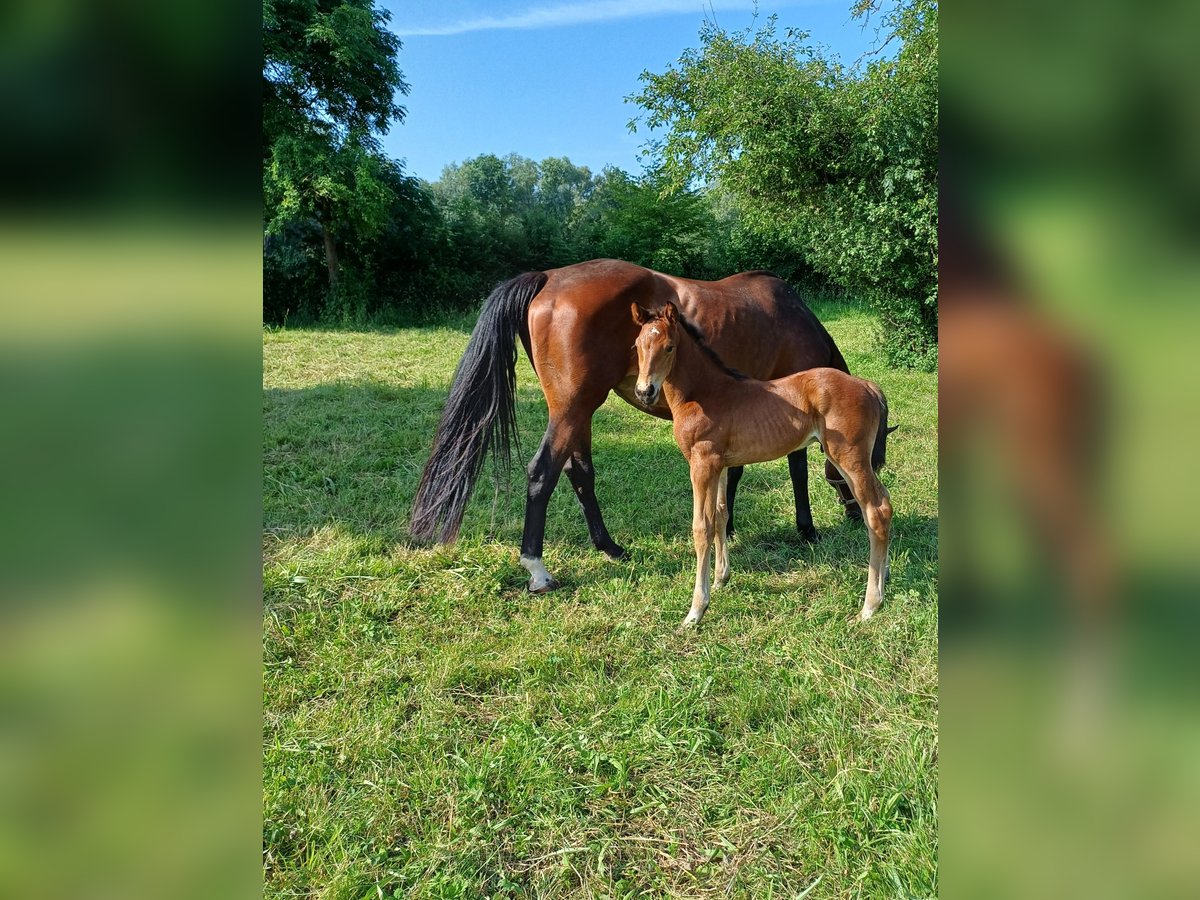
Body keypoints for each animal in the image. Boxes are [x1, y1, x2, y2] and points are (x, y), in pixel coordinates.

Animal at [412, 256, 864, 592]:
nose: (857, 514)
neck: (793, 317)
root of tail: (547, 278)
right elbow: (797, 470)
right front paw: (806, 529)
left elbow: (734, 473)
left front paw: (731, 526)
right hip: (572, 409)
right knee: (543, 473)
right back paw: (538, 570)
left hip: (578, 412)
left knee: (580, 473)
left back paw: (610, 547)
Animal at [633, 303, 897, 628]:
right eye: (638, 346)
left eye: (669, 347)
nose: (645, 391)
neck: (704, 394)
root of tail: (868, 386)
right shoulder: (719, 465)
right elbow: (721, 515)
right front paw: (721, 578)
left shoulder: (702, 464)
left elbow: (701, 527)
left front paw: (696, 610)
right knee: (884, 502)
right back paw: (884, 578)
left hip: (849, 458)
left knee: (876, 510)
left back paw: (870, 605)